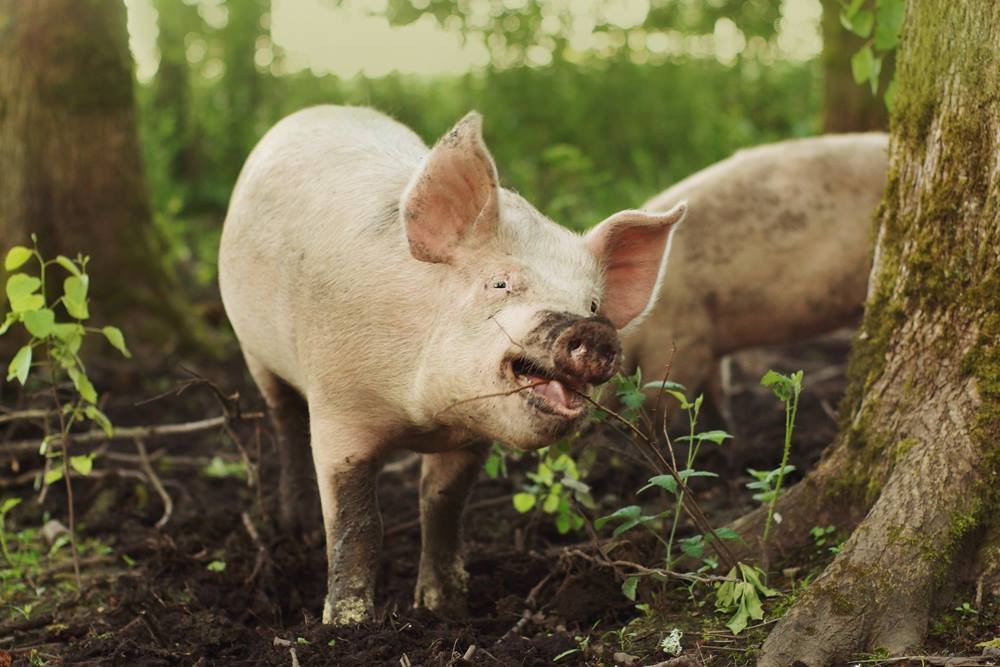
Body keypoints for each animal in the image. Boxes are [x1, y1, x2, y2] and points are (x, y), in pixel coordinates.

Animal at [218, 106, 687, 624]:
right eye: (500, 283)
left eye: (594, 303)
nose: (593, 329)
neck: (423, 417)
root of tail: (311, 112)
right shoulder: (339, 408)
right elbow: (358, 523)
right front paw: (348, 625)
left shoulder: (471, 436)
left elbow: (443, 506)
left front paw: (445, 609)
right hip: (253, 348)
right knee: (284, 418)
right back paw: (296, 524)